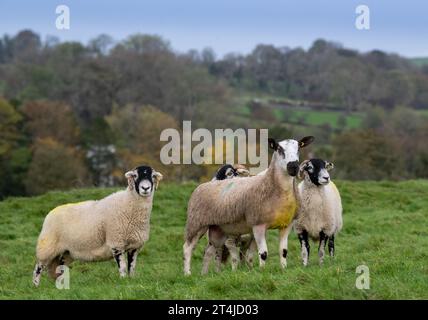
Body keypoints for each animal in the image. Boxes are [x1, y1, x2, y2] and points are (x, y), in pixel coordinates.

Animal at [32, 166, 164, 286]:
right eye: (135, 175)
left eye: (152, 176)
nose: (145, 188)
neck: (128, 204)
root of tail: (51, 212)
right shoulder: (116, 242)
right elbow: (122, 266)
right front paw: (123, 281)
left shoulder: (134, 246)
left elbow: (132, 266)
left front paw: (131, 280)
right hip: (47, 246)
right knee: (38, 267)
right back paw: (36, 285)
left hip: (66, 251)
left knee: (59, 267)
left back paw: (60, 285)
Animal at [182, 136, 312, 276]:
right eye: (279, 148)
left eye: (299, 148)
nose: (293, 166)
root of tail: (203, 185)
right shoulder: (258, 225)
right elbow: (263, 253)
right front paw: (262, 272)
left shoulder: (286, 225)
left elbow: (283, 251)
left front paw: (283, 269)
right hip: (196, 224)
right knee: (188, 247)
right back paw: (187, 273)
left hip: (218, 229)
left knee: (209, 250)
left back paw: (204, 274)